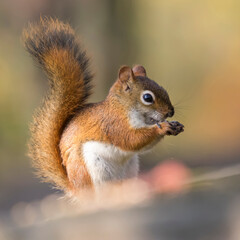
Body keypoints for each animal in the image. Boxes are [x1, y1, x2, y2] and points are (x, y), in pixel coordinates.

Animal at [22, 17, 184, 197]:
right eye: (147, 98)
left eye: (162, 88)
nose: (171, 112)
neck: (125, 109)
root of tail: (75, 189)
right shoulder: (113, 124)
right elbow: (130, 139)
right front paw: (162, 128)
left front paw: (175, 125)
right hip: (92, 169)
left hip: (129, 169)